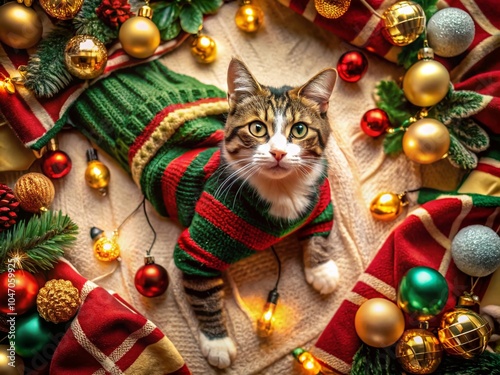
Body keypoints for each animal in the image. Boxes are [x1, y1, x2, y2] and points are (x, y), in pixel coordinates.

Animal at [176, 58, 340, 370]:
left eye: (299, 130)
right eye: (257, 128)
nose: (278, 152)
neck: (281, 191)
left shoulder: (320, 195)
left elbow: (320, 229)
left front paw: (321, 269)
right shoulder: (198, 247)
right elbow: (203, 292)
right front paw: (217, 342)